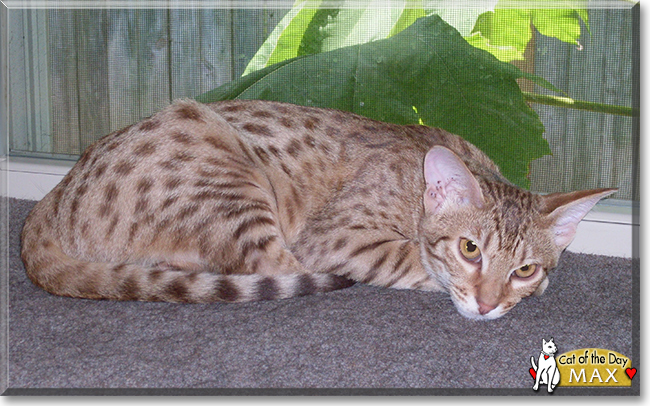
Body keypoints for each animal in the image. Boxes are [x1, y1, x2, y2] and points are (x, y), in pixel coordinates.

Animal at [20, 99, 612, 320]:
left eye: (525, 268)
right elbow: (412, 260)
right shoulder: (337, 236)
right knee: (269, 267)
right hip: (227, 171)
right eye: (470, 249)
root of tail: (52, 198)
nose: (488, 305)